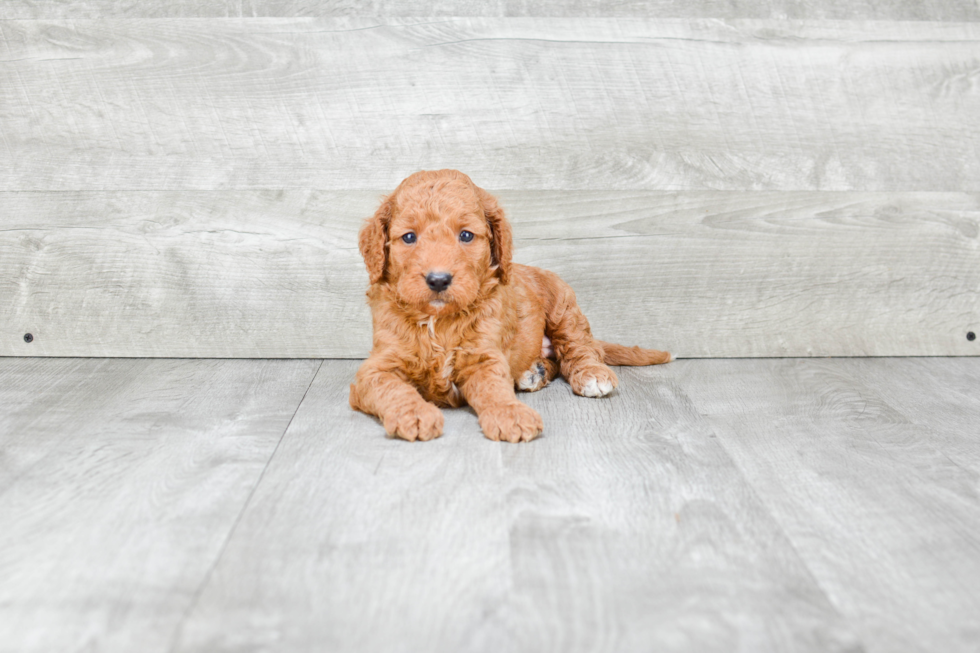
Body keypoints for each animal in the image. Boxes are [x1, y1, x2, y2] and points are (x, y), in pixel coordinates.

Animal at [348, 169, 668, 444]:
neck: (439, 322)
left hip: (564, 306)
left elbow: (493, 387)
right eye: (409, 237)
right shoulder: (376, 368)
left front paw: (510, 414)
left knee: (580, 347)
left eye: (466, 235)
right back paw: (535, 373)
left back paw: (590, 374)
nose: (438, 280)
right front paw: (414, 414)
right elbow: (393, 388)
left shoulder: (485, 356)